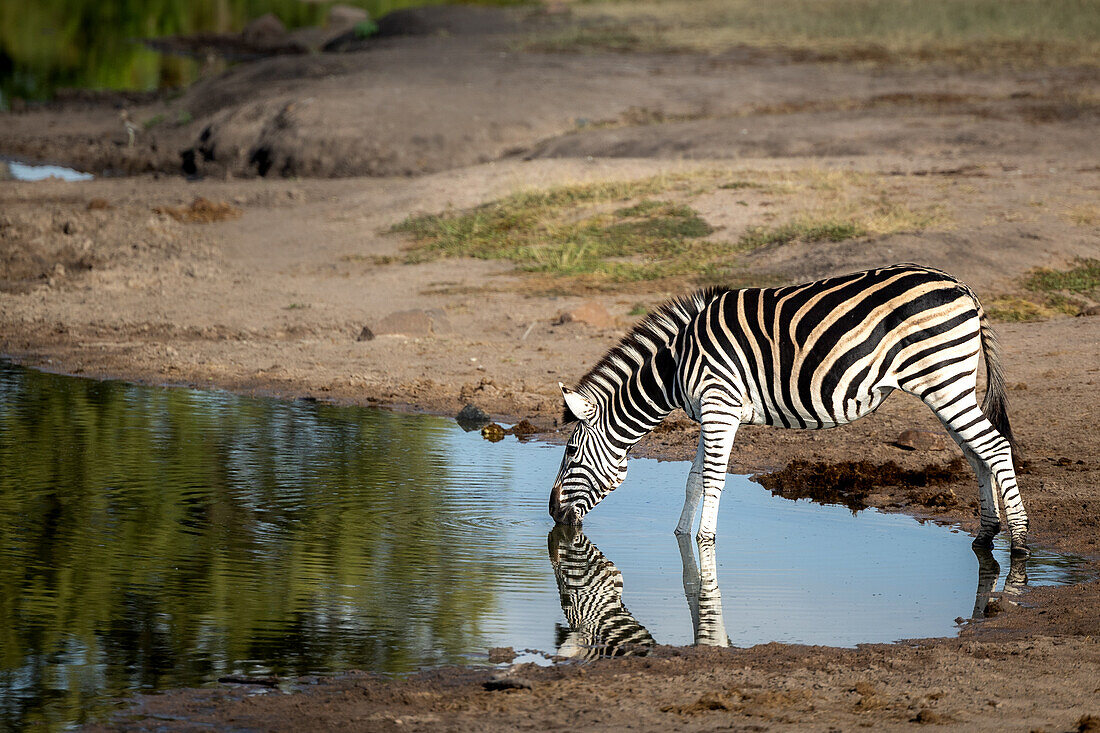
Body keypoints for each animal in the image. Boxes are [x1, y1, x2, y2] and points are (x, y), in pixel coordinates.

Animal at [550, 263, 1029, 554]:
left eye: (571, 452)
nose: (552, 514)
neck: (675, 366)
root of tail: (964, 288)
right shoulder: (711, 411)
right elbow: (693, 480)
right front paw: (682, 538)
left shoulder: (720, 405)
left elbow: (712, 479)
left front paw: (705, 542)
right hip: (950, 384)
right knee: (977, 453)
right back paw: (986, 535)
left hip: (941, 380)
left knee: (995, 447)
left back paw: (1020, 543)